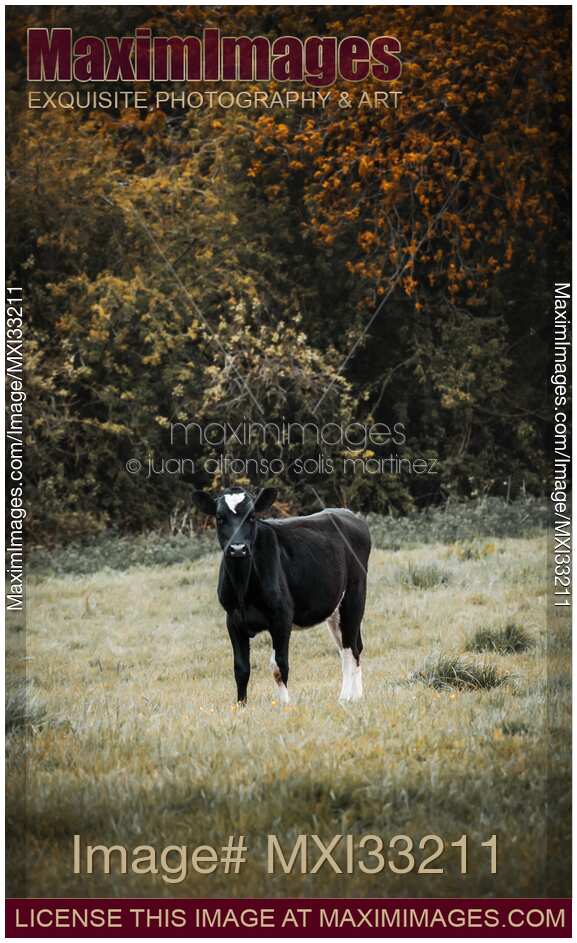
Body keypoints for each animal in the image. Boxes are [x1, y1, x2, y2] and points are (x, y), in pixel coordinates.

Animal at [191, 486, 371, 705]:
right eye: (219, 517)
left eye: (252, 517)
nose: (237, 548)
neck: (243, 588)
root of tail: (347, 514)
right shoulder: (233, 619)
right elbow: (241, 668)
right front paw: (241, 706)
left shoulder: (281, 617)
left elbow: (279, 665)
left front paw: (285, 704)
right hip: (335, 610)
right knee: (351, 647)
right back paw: (353, 696)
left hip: (354, 597)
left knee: (349, 648)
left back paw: (348, 697)